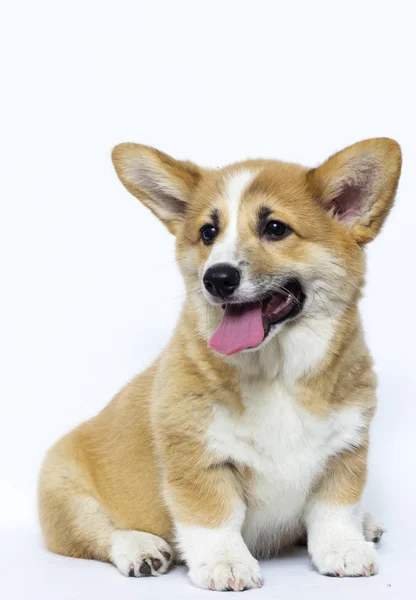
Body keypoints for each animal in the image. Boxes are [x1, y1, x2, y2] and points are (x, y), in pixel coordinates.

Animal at [38, 137, 400, 592]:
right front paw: (226, 564)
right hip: (63, 491)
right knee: (95, 533)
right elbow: (214, 518)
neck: (275, 372)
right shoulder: (198, 458)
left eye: (275, 228)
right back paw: (140, 548)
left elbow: (335, 509)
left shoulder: (344, 450)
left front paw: (344, 548)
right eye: (208, 233)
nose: (217, 278)